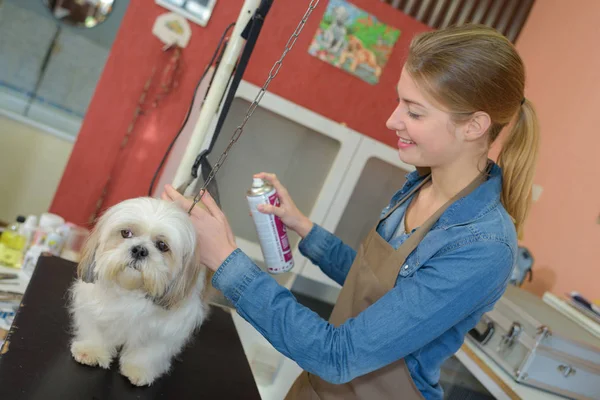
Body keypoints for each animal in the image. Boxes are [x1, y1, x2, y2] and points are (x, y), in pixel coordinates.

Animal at [69, 198, 213, 386]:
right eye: (126, 233)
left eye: (162, 245)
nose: (139, 250)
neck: (131, 291)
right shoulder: (93, 304)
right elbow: (96, 329)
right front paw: (91, 350)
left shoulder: (167, 329)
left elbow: (149, 350)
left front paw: (138, 368)